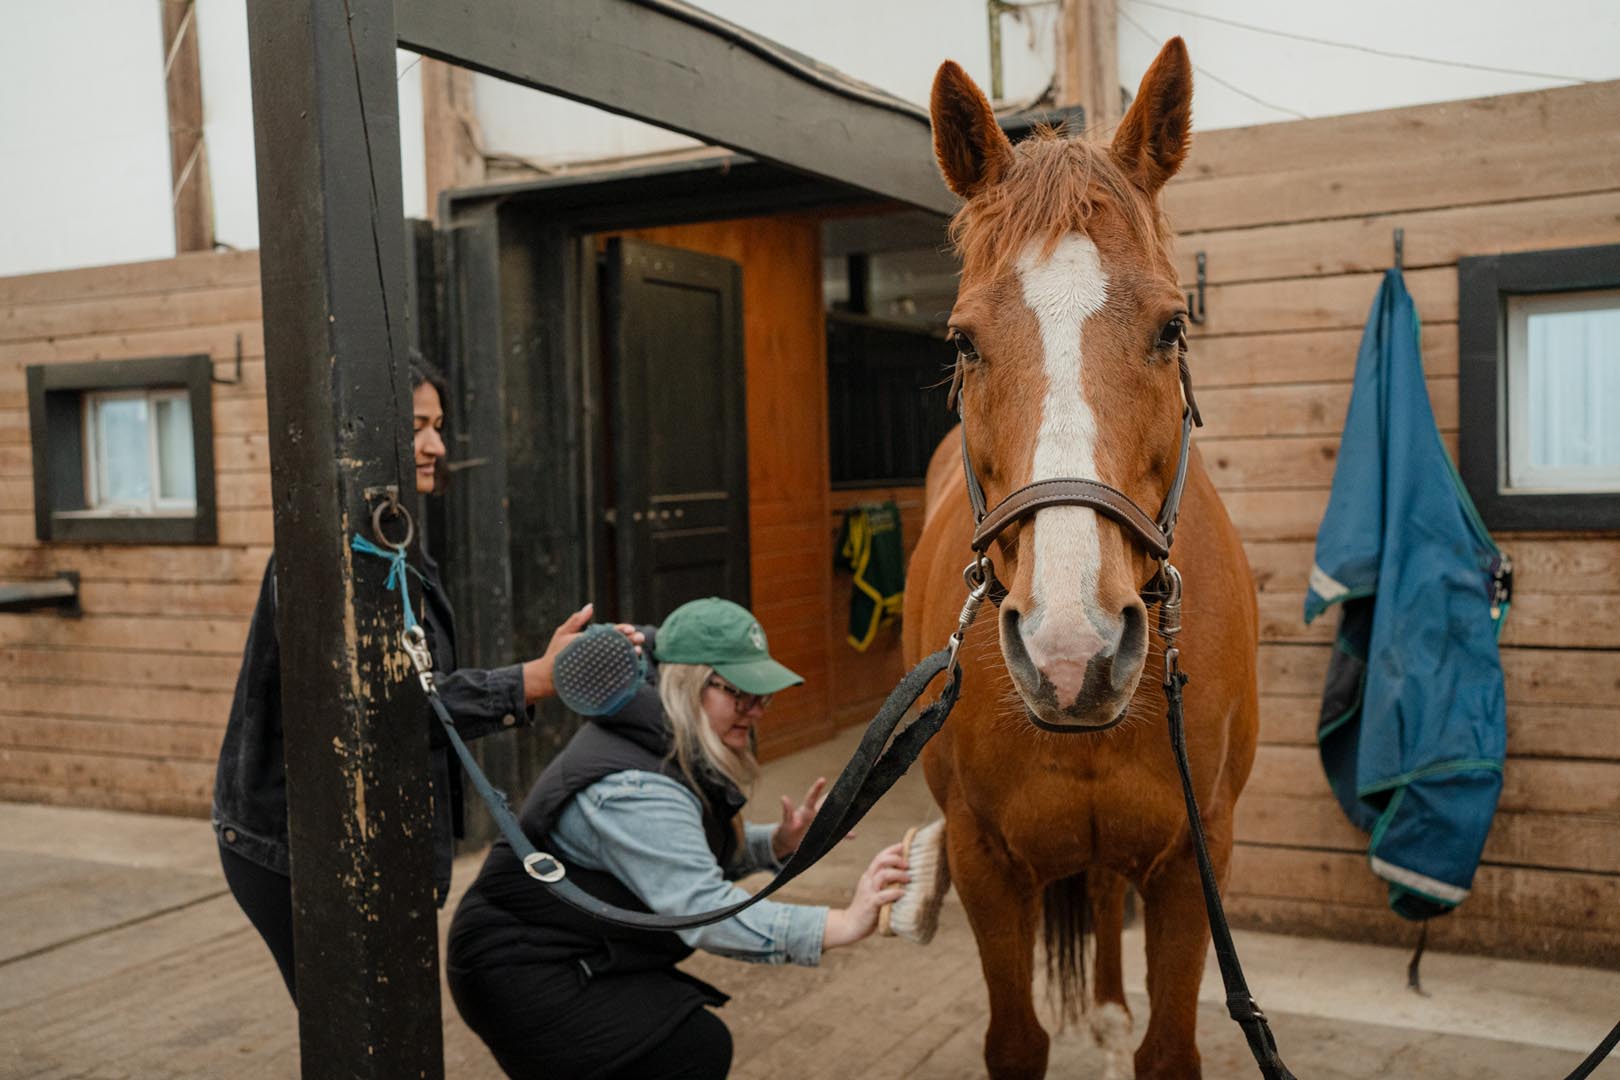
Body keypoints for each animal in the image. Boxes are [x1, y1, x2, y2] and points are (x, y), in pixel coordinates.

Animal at [901, 38, 1260, 1079]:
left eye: (1172, 327)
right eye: (962, 341)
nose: (1073, 653)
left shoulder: (1193, 865)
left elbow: (1167, 1048)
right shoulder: (984, 864)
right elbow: (1015, 1041)